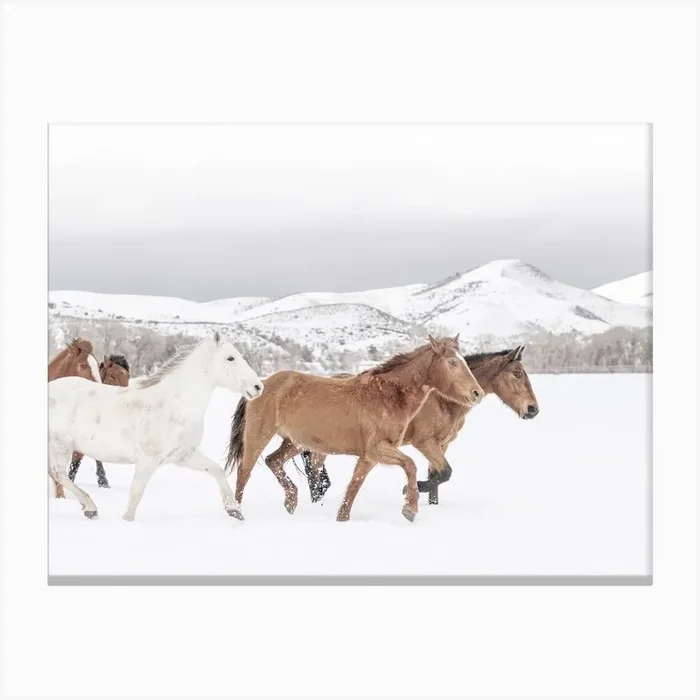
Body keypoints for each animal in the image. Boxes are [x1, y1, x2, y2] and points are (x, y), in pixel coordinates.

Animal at [224, 335, 484, 523]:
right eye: (452, 363)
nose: (477, 393)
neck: (387, 396)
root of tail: (260, 385)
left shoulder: (369, 456)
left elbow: (353, 487)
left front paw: (342, 519)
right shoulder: (379, 449)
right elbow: (410, 465)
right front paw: (410, 509)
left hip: (296, 442)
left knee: (273, 461)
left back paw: (291, 501)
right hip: (259, 436)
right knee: (244, 472)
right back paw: (236, 513)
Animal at [300, 346, 539, 505]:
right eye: (517, 374)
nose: (533, 409)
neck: (443, 398)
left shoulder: (442, 445)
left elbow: (437, 477)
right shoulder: (425, 443)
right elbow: (445, 473)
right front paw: (409, 489)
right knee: (314, 475)